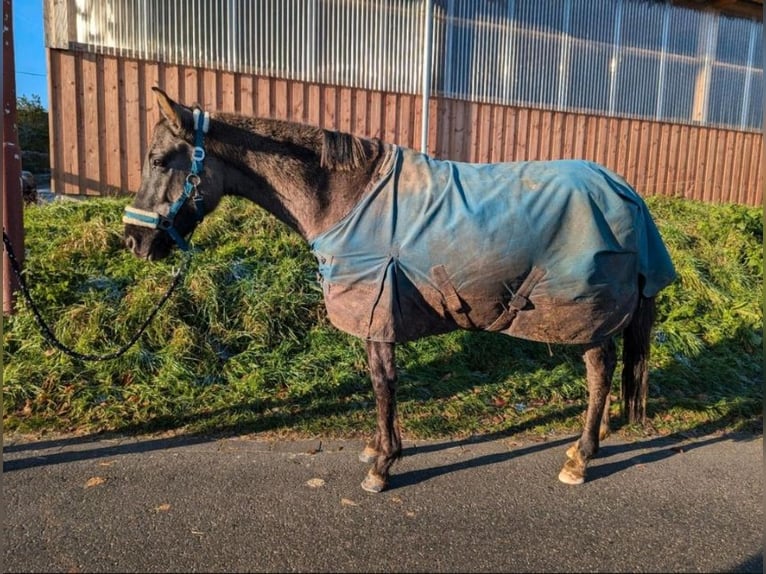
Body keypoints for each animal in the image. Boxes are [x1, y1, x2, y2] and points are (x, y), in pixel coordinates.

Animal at [123, 90, 676, 496]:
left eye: (159, 159)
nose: (134, 241)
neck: (344, 198)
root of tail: (627, 193)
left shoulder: (378, 312)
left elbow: (382, 384)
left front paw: (383, 465)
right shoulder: (376, 316)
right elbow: (380, 386)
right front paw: (375, 449)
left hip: (585, 314)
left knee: (599, 371)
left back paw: (580, 458)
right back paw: (596, 440)